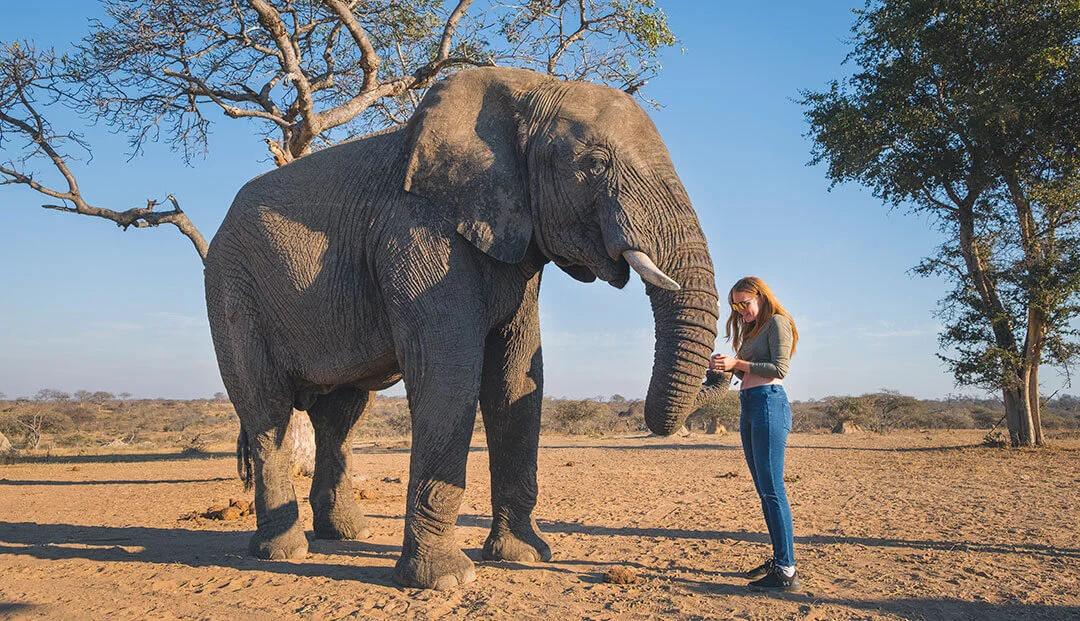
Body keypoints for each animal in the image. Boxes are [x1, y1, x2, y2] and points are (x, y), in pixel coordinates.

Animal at [204, 66, 724, 590]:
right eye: (595, 163)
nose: (721, 367)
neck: (523, 91)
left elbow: (517, 379)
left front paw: (523, 556)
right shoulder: (415, 233)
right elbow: (450, 374)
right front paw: (445, 580)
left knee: (341, 417)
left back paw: (345, 534)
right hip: (230, 288)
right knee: (267, 411)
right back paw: (282, 551)